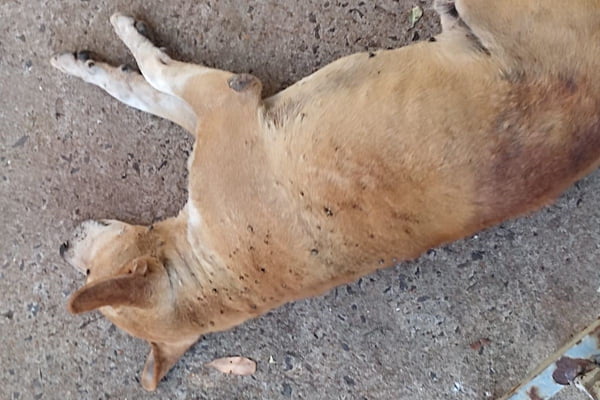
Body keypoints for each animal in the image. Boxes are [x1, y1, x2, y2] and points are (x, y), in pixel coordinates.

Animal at [50, 0, 600, 390]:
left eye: (90, 273)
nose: (61, 246)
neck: (211, 269)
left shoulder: (227, 99)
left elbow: (154, 73)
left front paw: (118, 40)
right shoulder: (218, 111)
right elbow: (144, 90)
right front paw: (92, 66)